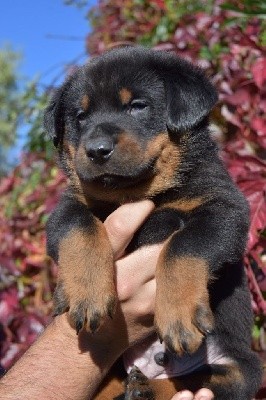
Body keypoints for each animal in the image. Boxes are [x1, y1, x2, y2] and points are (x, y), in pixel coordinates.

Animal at [44, 46, 262, 396]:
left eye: (138, 106)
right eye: (80, 117)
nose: (97, 150)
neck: (137, 193)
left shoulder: (225, 210)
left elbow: (183, 247)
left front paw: (177, 315)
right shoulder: (67, 208)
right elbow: (80, 230)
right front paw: (86, 295)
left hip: (243, 369)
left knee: (190, 381)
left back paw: (145, 387)